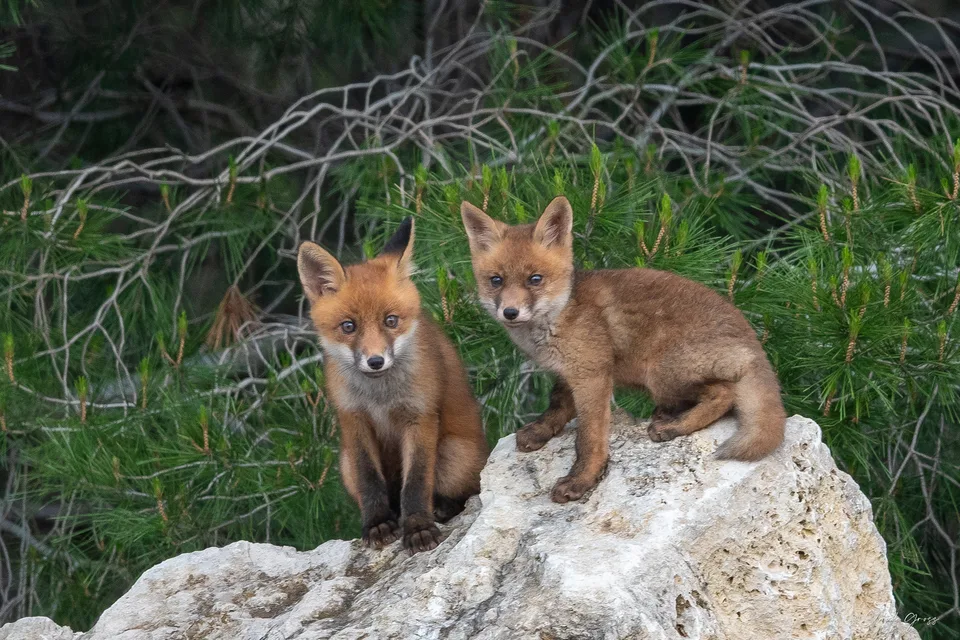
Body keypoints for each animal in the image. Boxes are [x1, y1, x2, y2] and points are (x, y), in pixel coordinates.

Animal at [297, 217, 489, 553]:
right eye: (349, 326)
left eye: (391, 320)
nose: (375, 361)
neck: (381, 398)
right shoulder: (353, 419)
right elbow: (370, 481)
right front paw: (376, 524)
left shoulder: (420, 417)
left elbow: (416, 482)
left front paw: (418, 528)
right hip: (344, 462)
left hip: (454, 454)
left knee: (462, 494)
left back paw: (441, 509)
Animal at [460, 195, 786, 504]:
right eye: (496, 280)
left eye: (535, 279)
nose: (510, 312)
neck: (559, 316)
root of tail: (751, 339)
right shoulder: (570, 373)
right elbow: (557, 406)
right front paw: (541, 431)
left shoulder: (592, 376)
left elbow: (589, 439)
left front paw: (581, 480)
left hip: (661, 375)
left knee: (724, 394)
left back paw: (674, 426)